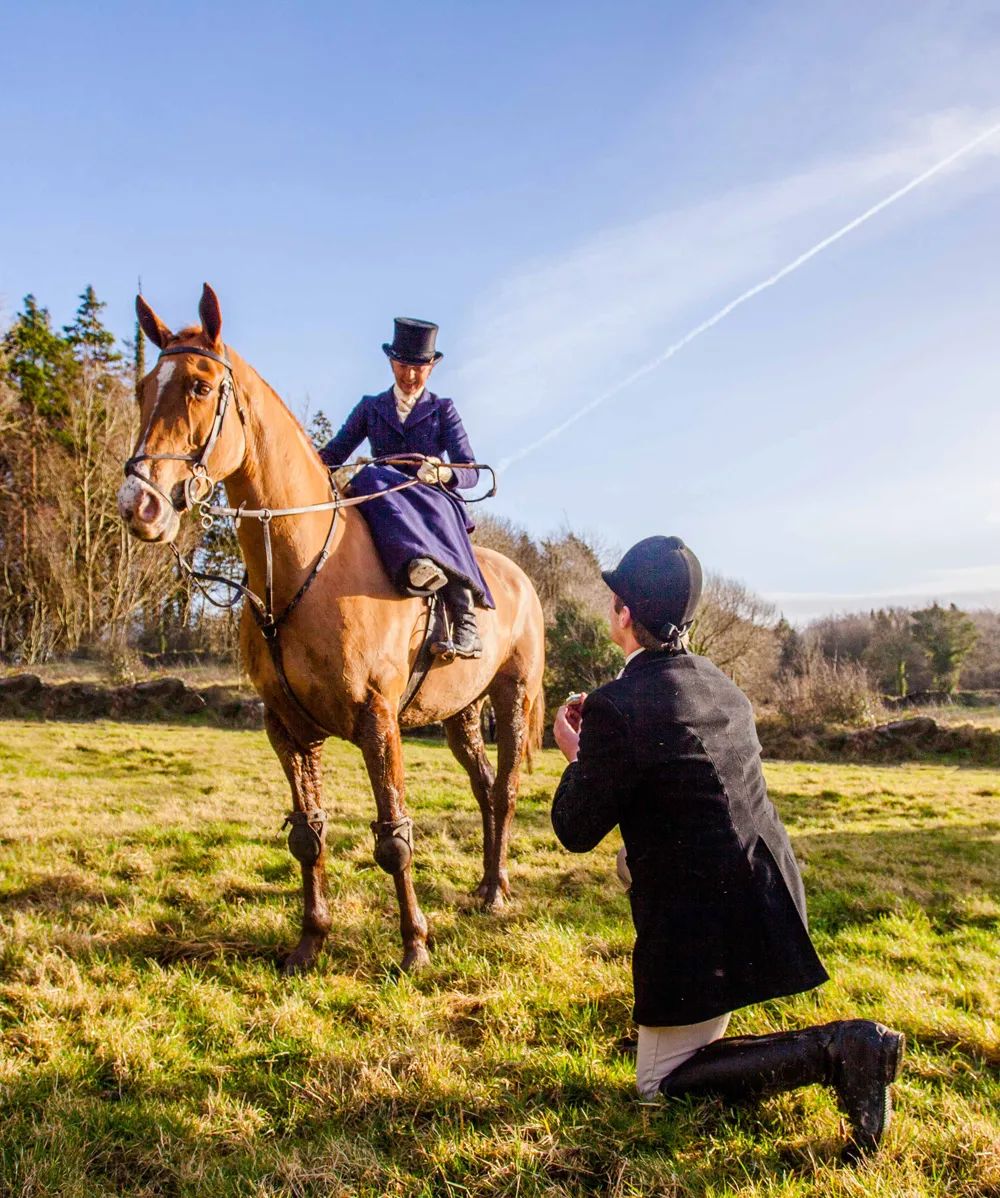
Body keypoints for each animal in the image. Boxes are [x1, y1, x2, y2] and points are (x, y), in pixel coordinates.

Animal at [120, 287, 550, 972]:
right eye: (142, 388)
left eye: (200, 386)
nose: (140, 506)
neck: (302, 570)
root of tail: (519, 578)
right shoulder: (287, 727)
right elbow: (307, 834)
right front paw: (310, 940)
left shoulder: (378, 721)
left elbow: (394, 838)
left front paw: (415, 946)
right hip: (458, 713)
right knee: (484, 788)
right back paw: (487, 882)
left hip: (511, 697)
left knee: (505, 790)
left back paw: (497, 892)